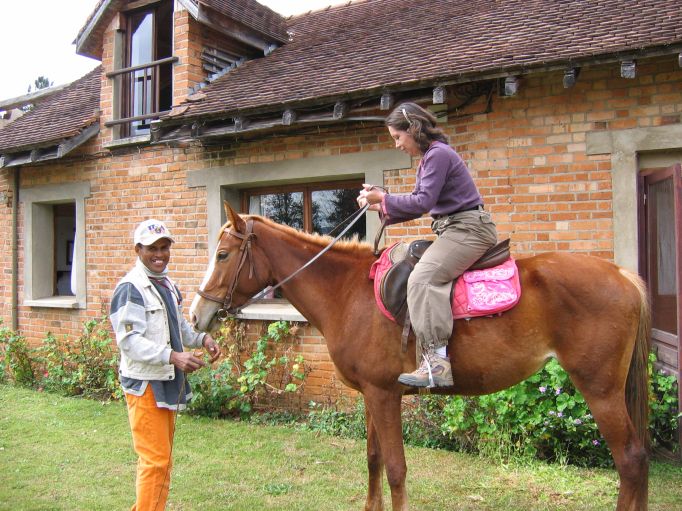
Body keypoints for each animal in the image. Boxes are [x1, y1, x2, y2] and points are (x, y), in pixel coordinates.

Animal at [190, 204, 650, 511]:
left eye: (223, 255)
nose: (196, 315)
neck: (348, 292)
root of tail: (622, 275)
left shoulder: (384, 394)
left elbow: (395, 468)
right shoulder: (371, 395)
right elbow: (374, 459)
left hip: (600, 388)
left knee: (630, 460)